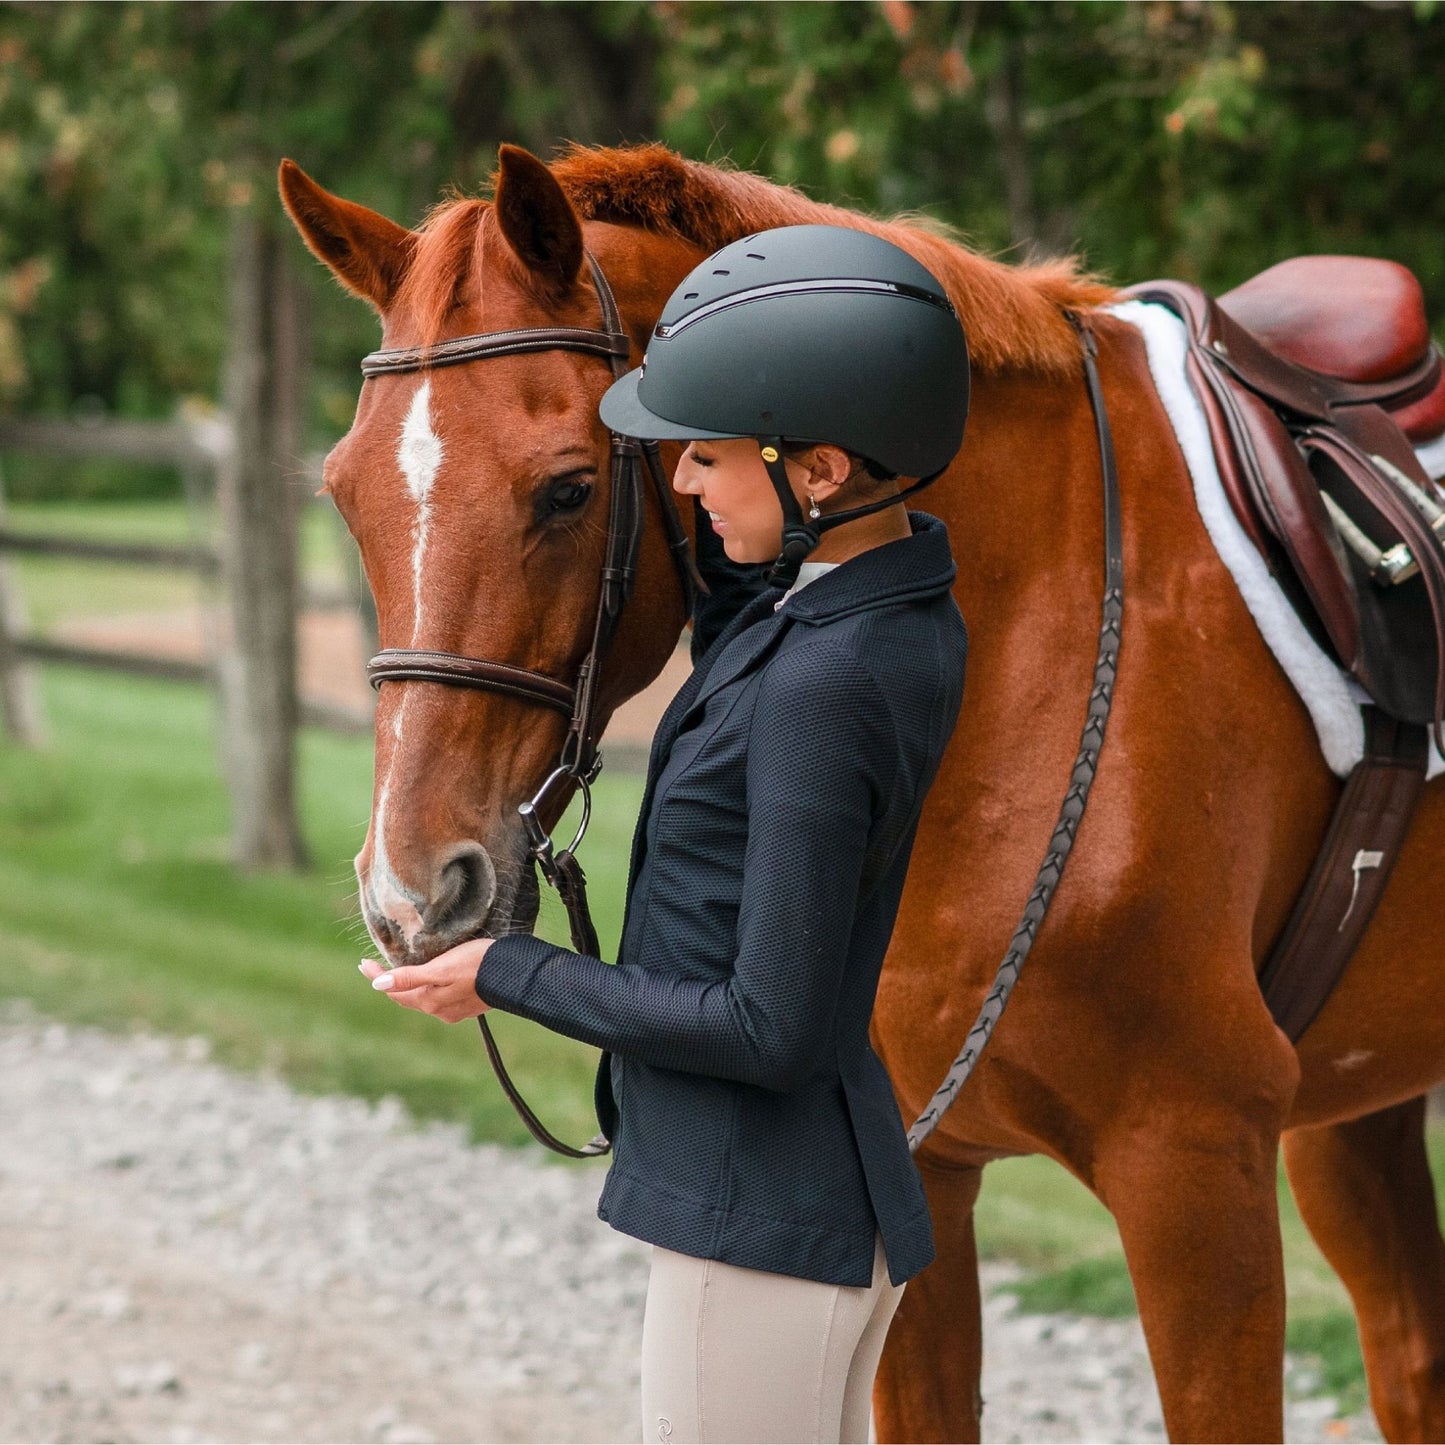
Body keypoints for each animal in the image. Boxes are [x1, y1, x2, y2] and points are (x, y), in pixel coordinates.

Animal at [278, 149, 1445, 1445]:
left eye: (568, 490)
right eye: (344, 492)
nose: (413, 895)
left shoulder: (1195, 1167)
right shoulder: (912, 1183)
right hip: (1349, 1112)